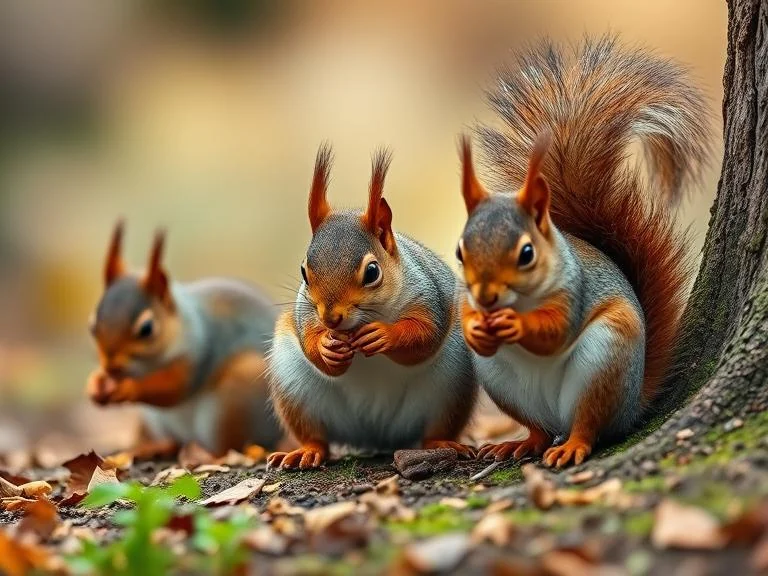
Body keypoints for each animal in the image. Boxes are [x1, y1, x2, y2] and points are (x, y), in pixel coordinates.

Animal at [86, 221, 283, 456]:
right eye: (92, 326)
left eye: (147, 329)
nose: (111, 367)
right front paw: (95, 384)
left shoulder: (198, 351)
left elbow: (175, 387)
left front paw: (129, 388)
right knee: (172, 441)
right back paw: (150, 446)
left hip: (236, 399)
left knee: (230, 447)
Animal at [266, 144, 477, 469]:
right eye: (303, 271)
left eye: (372, 272)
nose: (331, 318)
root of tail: (376, 434)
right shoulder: (306, 314)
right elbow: (312, 345)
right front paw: (326, 347)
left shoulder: (429, 296)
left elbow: (424, 336)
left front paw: (384, 335)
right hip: (294, 386)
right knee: (316, 436)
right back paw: (307, 451)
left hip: (451, 387)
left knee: (436, 429)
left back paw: (442, 443)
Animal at [455, 36, 711, 468]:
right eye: (460, 251)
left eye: (526, 253)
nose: (487, 298)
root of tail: (632, 403)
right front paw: (478, 328)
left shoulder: (573, 290)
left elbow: (555, 332)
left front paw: (516, 325)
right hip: (501, 383)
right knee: (539, 429)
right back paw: (518, 443)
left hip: (604, 360)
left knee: (590, 425)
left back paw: (572, 445)